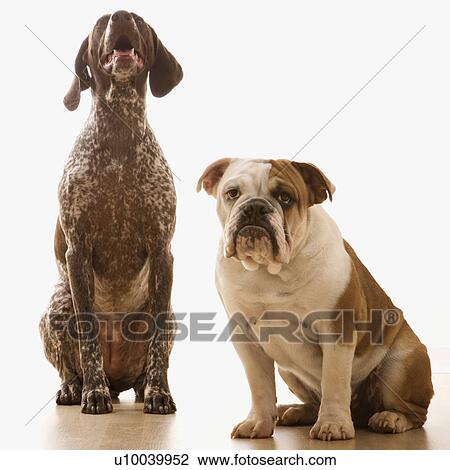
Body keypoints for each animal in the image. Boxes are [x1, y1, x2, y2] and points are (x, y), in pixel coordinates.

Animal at [197, 159, 432, 440]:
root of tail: (361, 413)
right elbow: (260, 384)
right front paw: (258, 422)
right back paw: (293, 411)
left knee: (415, 413)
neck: (270, 270)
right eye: (232, 193)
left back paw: (391, 418)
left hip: (402, 363)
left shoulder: (337, 330)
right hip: (288, 371)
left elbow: (334, 380)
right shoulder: (246, 338)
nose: (254, 206)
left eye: (285, 198)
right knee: (314, 399)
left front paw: (333, 424)